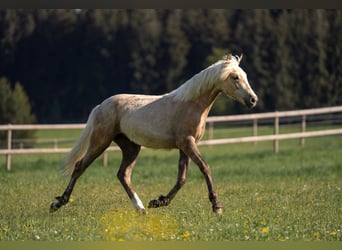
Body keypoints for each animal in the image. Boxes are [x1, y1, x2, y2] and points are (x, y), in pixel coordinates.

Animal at [50, 54, 256, 215]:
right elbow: (204, 168)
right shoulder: (187, 143)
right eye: (235, 77)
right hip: (100, 141)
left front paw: (158, 202)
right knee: (80, 166)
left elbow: (181, 178)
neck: (191, 104)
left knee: (123, 175)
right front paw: (217, 206)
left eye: (245, 76)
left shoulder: (184, 146)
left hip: (131, 147)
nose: (253, 99)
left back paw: (141, 208)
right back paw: (58, 203)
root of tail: (101, 106)